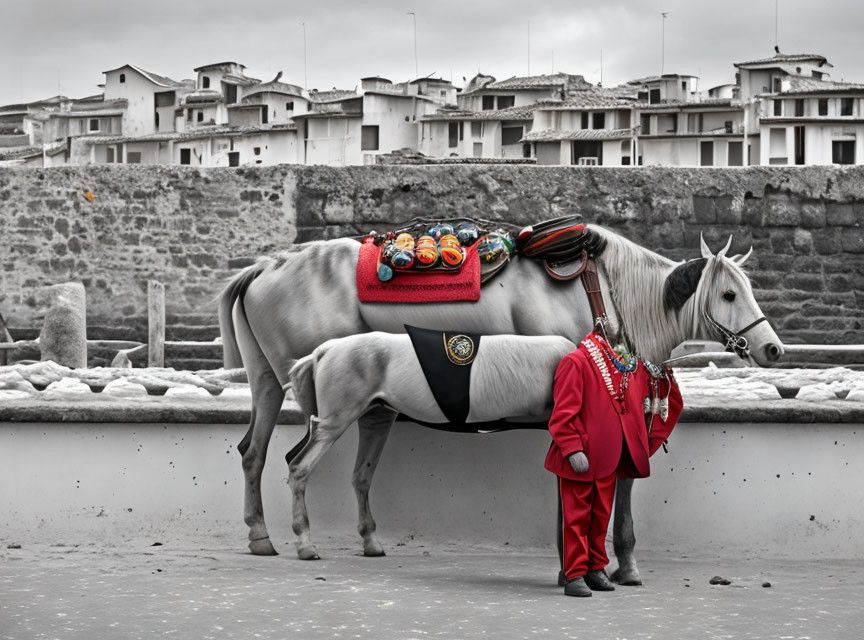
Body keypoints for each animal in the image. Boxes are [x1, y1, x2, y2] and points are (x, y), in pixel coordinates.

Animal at [218, 225, 784, 584]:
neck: (603, 290)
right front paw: (604, 563)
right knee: (289, 459)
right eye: (729, 294)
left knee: (256, 452)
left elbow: (619, 474)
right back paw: (294, 538)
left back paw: (268, 534)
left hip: (278, 384)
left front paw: (618, 562)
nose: (773, 348)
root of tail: (266, 266)